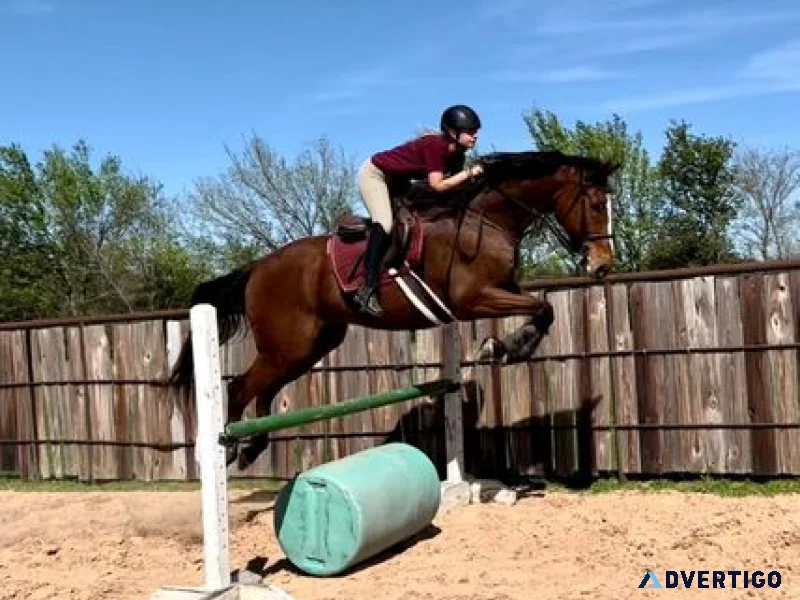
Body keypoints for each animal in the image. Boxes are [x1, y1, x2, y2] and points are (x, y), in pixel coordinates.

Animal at [169, 150, 620, 469]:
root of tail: (257, 268)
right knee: (239, 388)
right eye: (597, 204)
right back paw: (231, 448)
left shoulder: (502, 289)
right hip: (287, 345)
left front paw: (508, 346)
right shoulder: (472, 299)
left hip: (310, 346)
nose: (602, 266)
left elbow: (542, 308)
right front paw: (504, 348)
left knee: (265, 389)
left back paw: (253, 447)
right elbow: (542, 308)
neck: (487, 219)